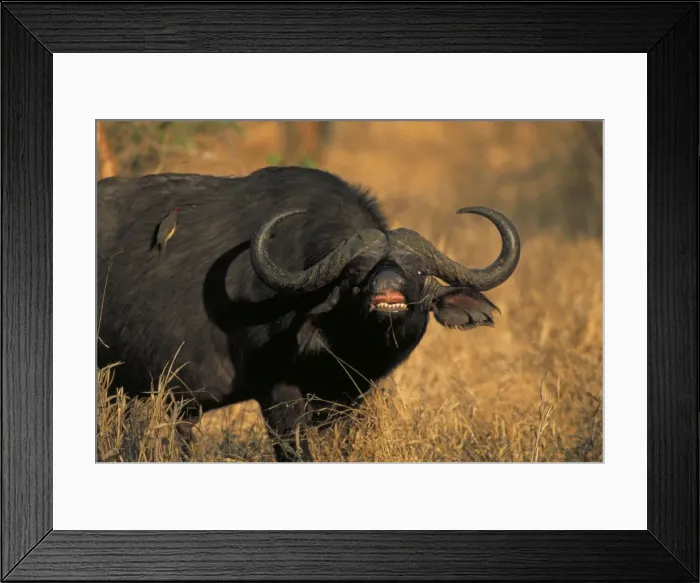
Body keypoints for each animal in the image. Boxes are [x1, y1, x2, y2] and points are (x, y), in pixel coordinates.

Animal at [97, 166, 520, 461]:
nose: (387, 293)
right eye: (355, 273)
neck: (340, 348)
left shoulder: (347, 400)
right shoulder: (279, 396)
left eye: (416, 272)